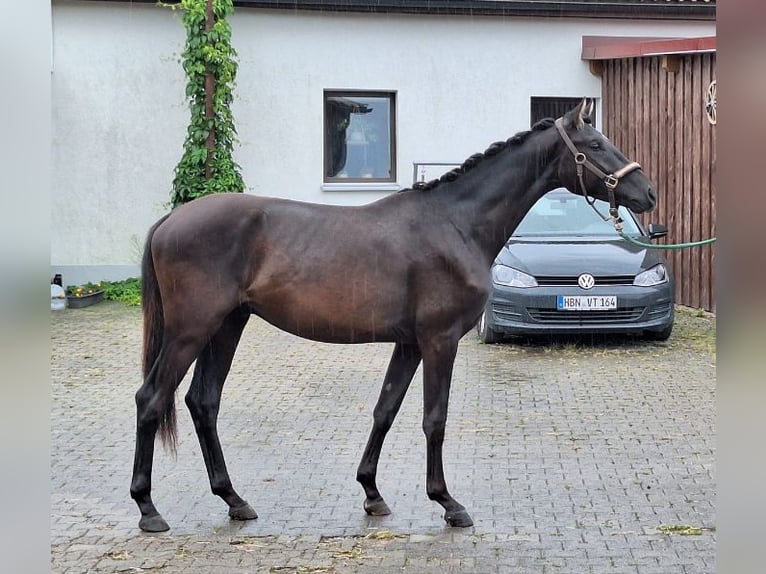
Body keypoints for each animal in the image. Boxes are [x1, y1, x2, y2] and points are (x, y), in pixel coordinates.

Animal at [129, 100, 656, 536]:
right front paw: (447, 503)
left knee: (203, 402)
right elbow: (434, 418)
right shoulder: (440, 339)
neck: (455, 224)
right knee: (151, 399)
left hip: (227, 326)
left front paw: (372, 494)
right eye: (594, 145)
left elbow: (385, 409)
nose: (647, 192)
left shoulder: (409, 343)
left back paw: (234, 500)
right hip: (191, 330)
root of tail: (171, 220)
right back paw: (148, 509)